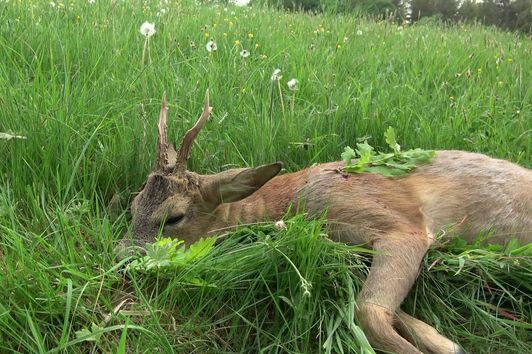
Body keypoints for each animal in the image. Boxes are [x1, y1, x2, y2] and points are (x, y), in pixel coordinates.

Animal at [124, 91, 532, 354]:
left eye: (173, 217)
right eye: (133, 204)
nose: (122, 255)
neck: (293, 202)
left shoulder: (402, 225)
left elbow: (368, 310)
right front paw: (445, 341)